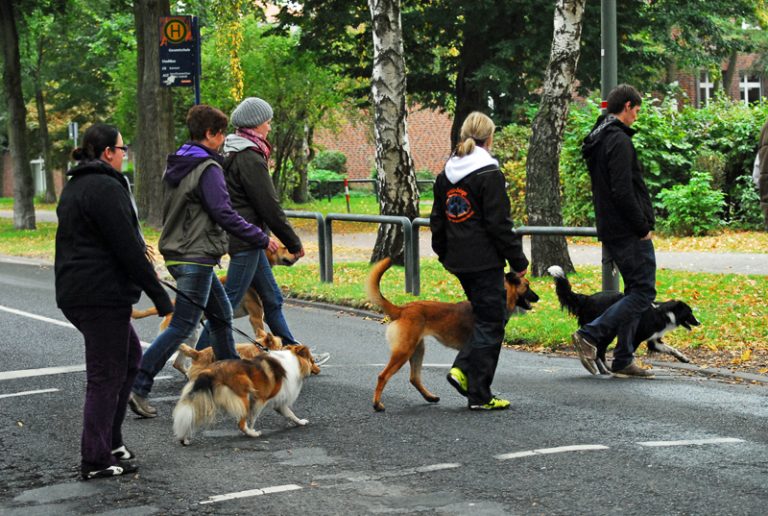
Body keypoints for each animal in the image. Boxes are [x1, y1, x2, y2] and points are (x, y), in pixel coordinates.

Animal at [368, 258, 540, 412]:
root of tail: (402, 309)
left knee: (414, 378)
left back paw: (430, 397)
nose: (538, 297)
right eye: (527, 286)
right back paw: (377, 405)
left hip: (417, 349)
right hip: (404, 351)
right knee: (383, 376)